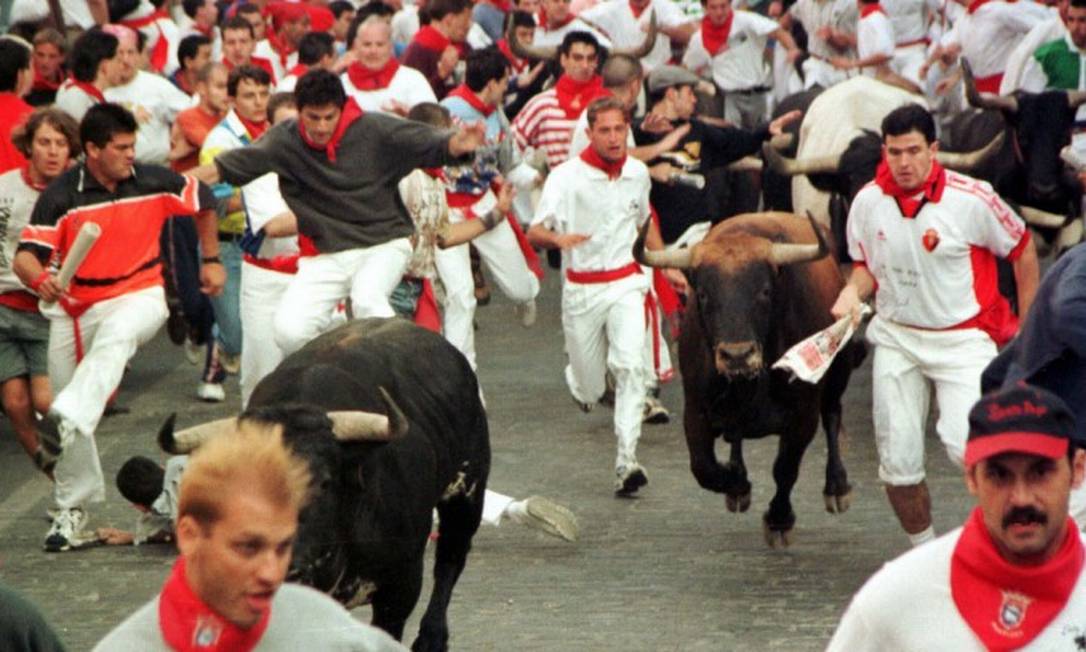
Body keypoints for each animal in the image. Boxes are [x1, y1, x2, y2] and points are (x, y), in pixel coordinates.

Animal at [634, 212, 860, 545]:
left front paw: (779, 520)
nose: (737, 355)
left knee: (832, 415)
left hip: (839, 373)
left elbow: (785, 468)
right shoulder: (696, 411)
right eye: (704, 294)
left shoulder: (802, 416)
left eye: (764, 291)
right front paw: (737, 482)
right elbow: (703, 468)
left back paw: (837, 486)